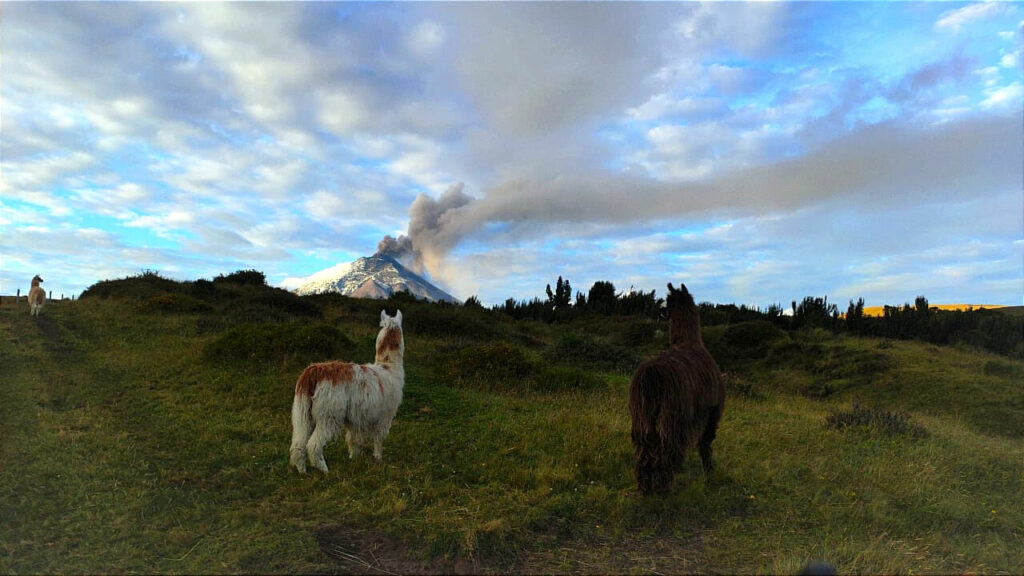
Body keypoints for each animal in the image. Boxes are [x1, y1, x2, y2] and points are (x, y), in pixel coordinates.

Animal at [290, 309, 405, 471]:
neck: (388, 368)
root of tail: (313, 372)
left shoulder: (356, 418)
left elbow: (353, 439)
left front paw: (354, 458)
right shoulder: (384, 415)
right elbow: (378, 438)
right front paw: (378, 458)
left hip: (303, 411)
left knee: (298, 442)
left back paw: (302, 470)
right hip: (329, 413)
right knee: (313, 445)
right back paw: (324, 469)